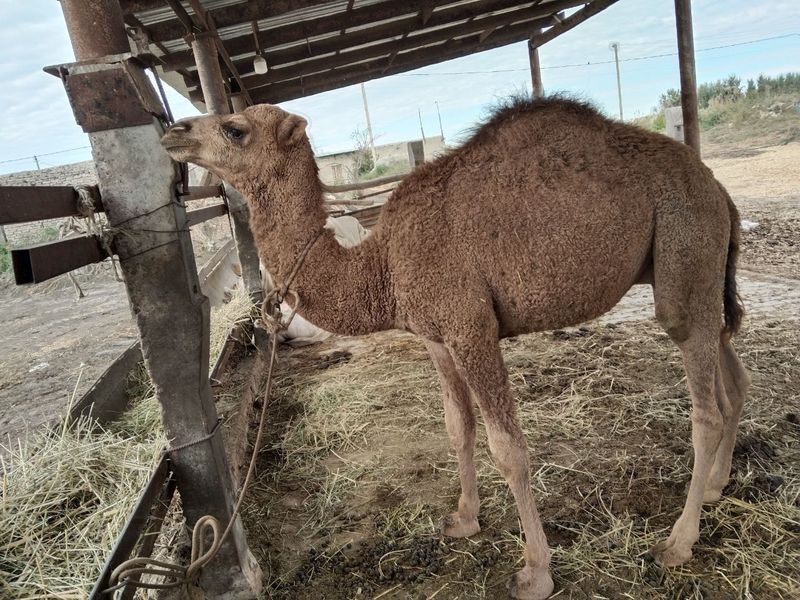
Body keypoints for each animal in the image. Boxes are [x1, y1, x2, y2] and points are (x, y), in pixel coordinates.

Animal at [161, 98, 752, 600]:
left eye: (235, 127)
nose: (174, 130)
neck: (381, 264)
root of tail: (718, 189)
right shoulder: (436, 336)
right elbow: (457, 426)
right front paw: (464, 520)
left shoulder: (471, 327)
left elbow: (507, 447)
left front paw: (535, 572)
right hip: (698, 272)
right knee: (732, 375)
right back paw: (716, 486)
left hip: (684, 248)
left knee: (704, 405)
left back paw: (677, 542)